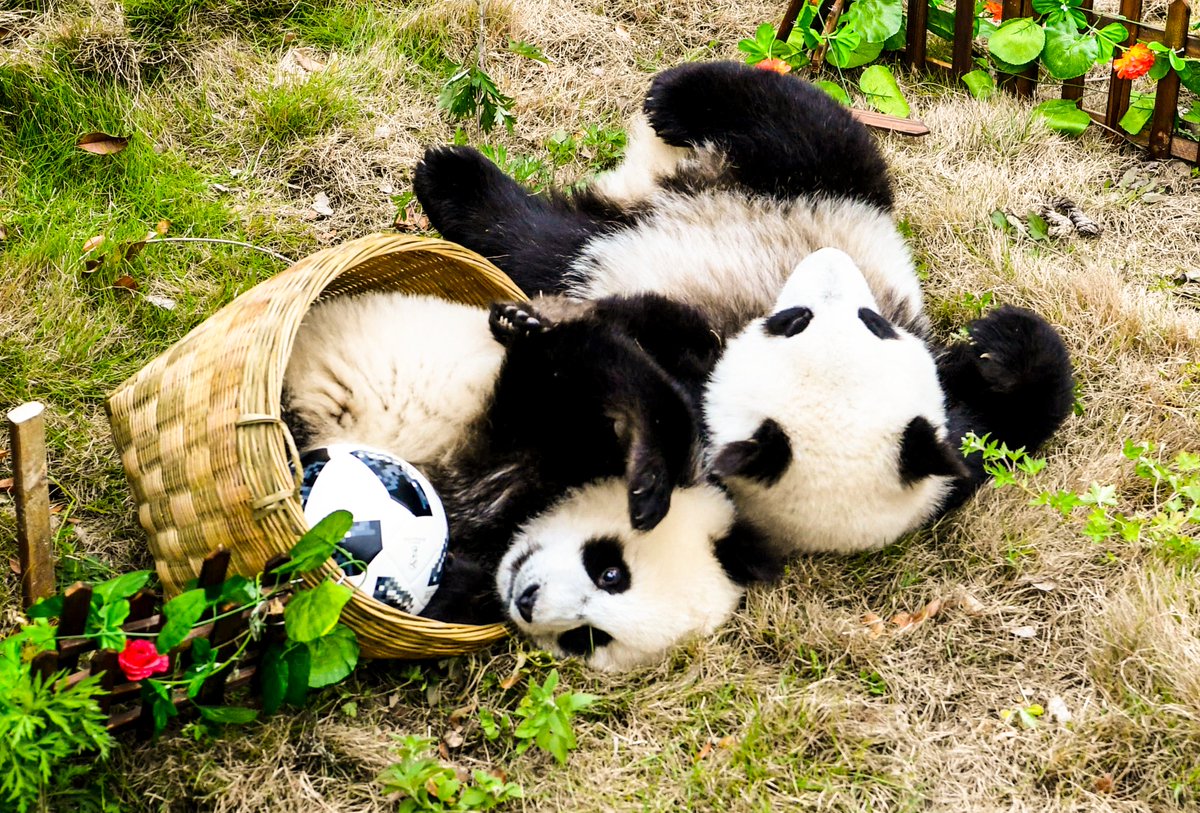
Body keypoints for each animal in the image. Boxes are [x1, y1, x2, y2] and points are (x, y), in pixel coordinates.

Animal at [282, 289, 780, 666]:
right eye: (612, 571)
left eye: (588, 638)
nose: (527, 601)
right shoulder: (565, 417)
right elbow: (599, 365)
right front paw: (650, 485)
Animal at [412, 60, 1076, 556]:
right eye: (875, 325)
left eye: (795, 322)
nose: (832, 266)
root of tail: (651, 193)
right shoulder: (945, 432)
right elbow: (1002, 418)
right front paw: (1001, 345)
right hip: (810, 193)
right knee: (814, 129)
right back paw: (671, 98)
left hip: (602, 243)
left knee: (537, 240)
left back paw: (455, 176)